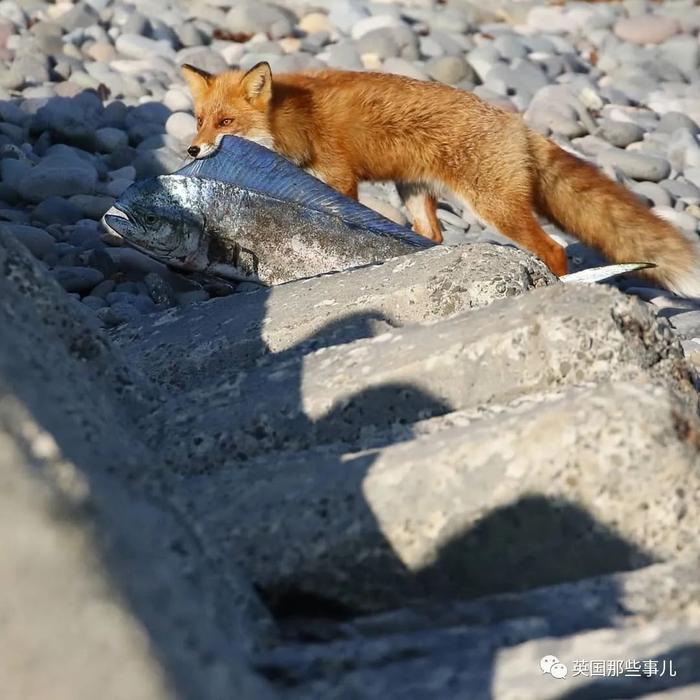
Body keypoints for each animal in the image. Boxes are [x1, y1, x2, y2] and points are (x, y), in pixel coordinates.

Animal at [182, 61, 700, 296]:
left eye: (226, 122)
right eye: (200, 121)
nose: (192, 150)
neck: (296, 120)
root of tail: (519, 125)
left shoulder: (339, 177)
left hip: (495, 208)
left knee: (552, 249)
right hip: (415, 193)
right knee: (430, 237)